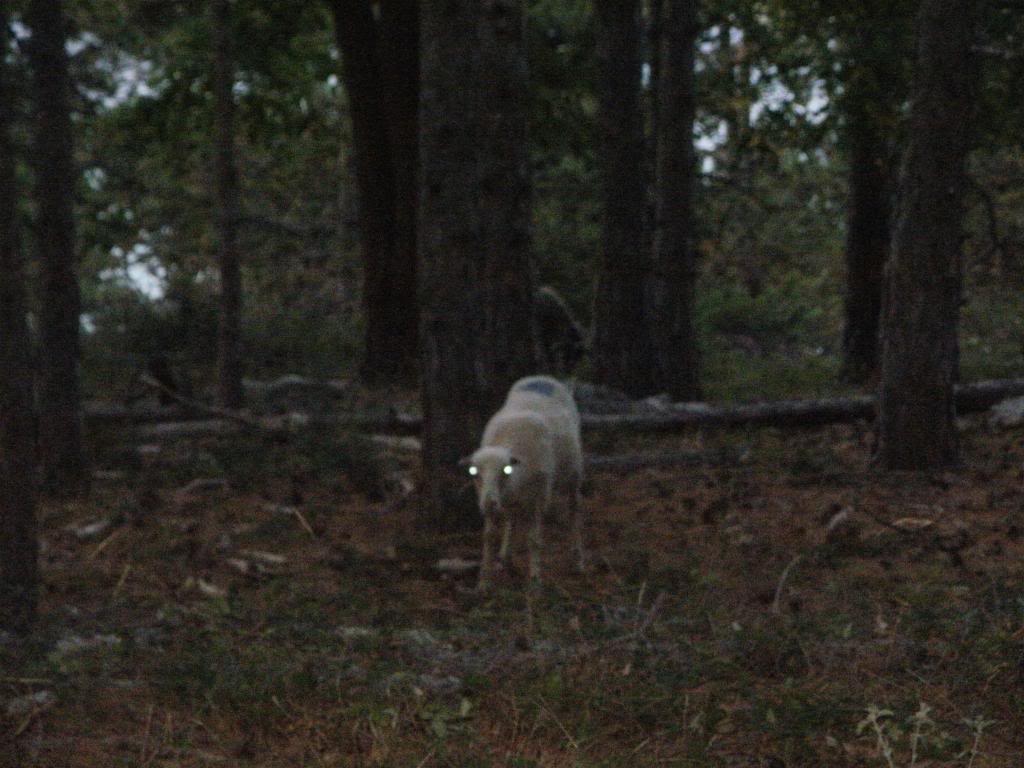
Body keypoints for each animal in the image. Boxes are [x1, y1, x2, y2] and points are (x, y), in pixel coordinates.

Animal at [462, 376, 585, 593]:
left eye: (505, 470)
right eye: (474, 472)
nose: (489, 502)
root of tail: (543, 378)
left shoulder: (539, 497)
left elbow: (534, 540)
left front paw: (535, 583)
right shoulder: (490, 498)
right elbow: (489, 537)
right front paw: (484, 581)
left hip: (574, 473)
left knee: (573, 511)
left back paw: (577, 560)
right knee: (512, 518)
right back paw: (506, 557)